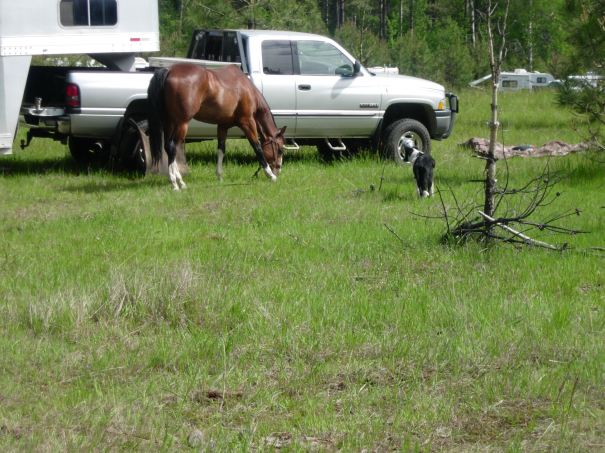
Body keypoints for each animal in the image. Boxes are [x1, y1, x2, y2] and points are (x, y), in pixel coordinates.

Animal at [147, 63, 287, 190]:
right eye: (280, 149)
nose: (278, 170)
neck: (246, 88)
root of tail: (169, 70)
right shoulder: (247, 122)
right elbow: (257, 147)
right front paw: (270, 175)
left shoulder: (222, 126)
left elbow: (221, 149)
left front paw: (219, 176)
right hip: (182, 123)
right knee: (172, 147)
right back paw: (176, 183)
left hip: (170, 123)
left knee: (167, 147)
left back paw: (179, 181)